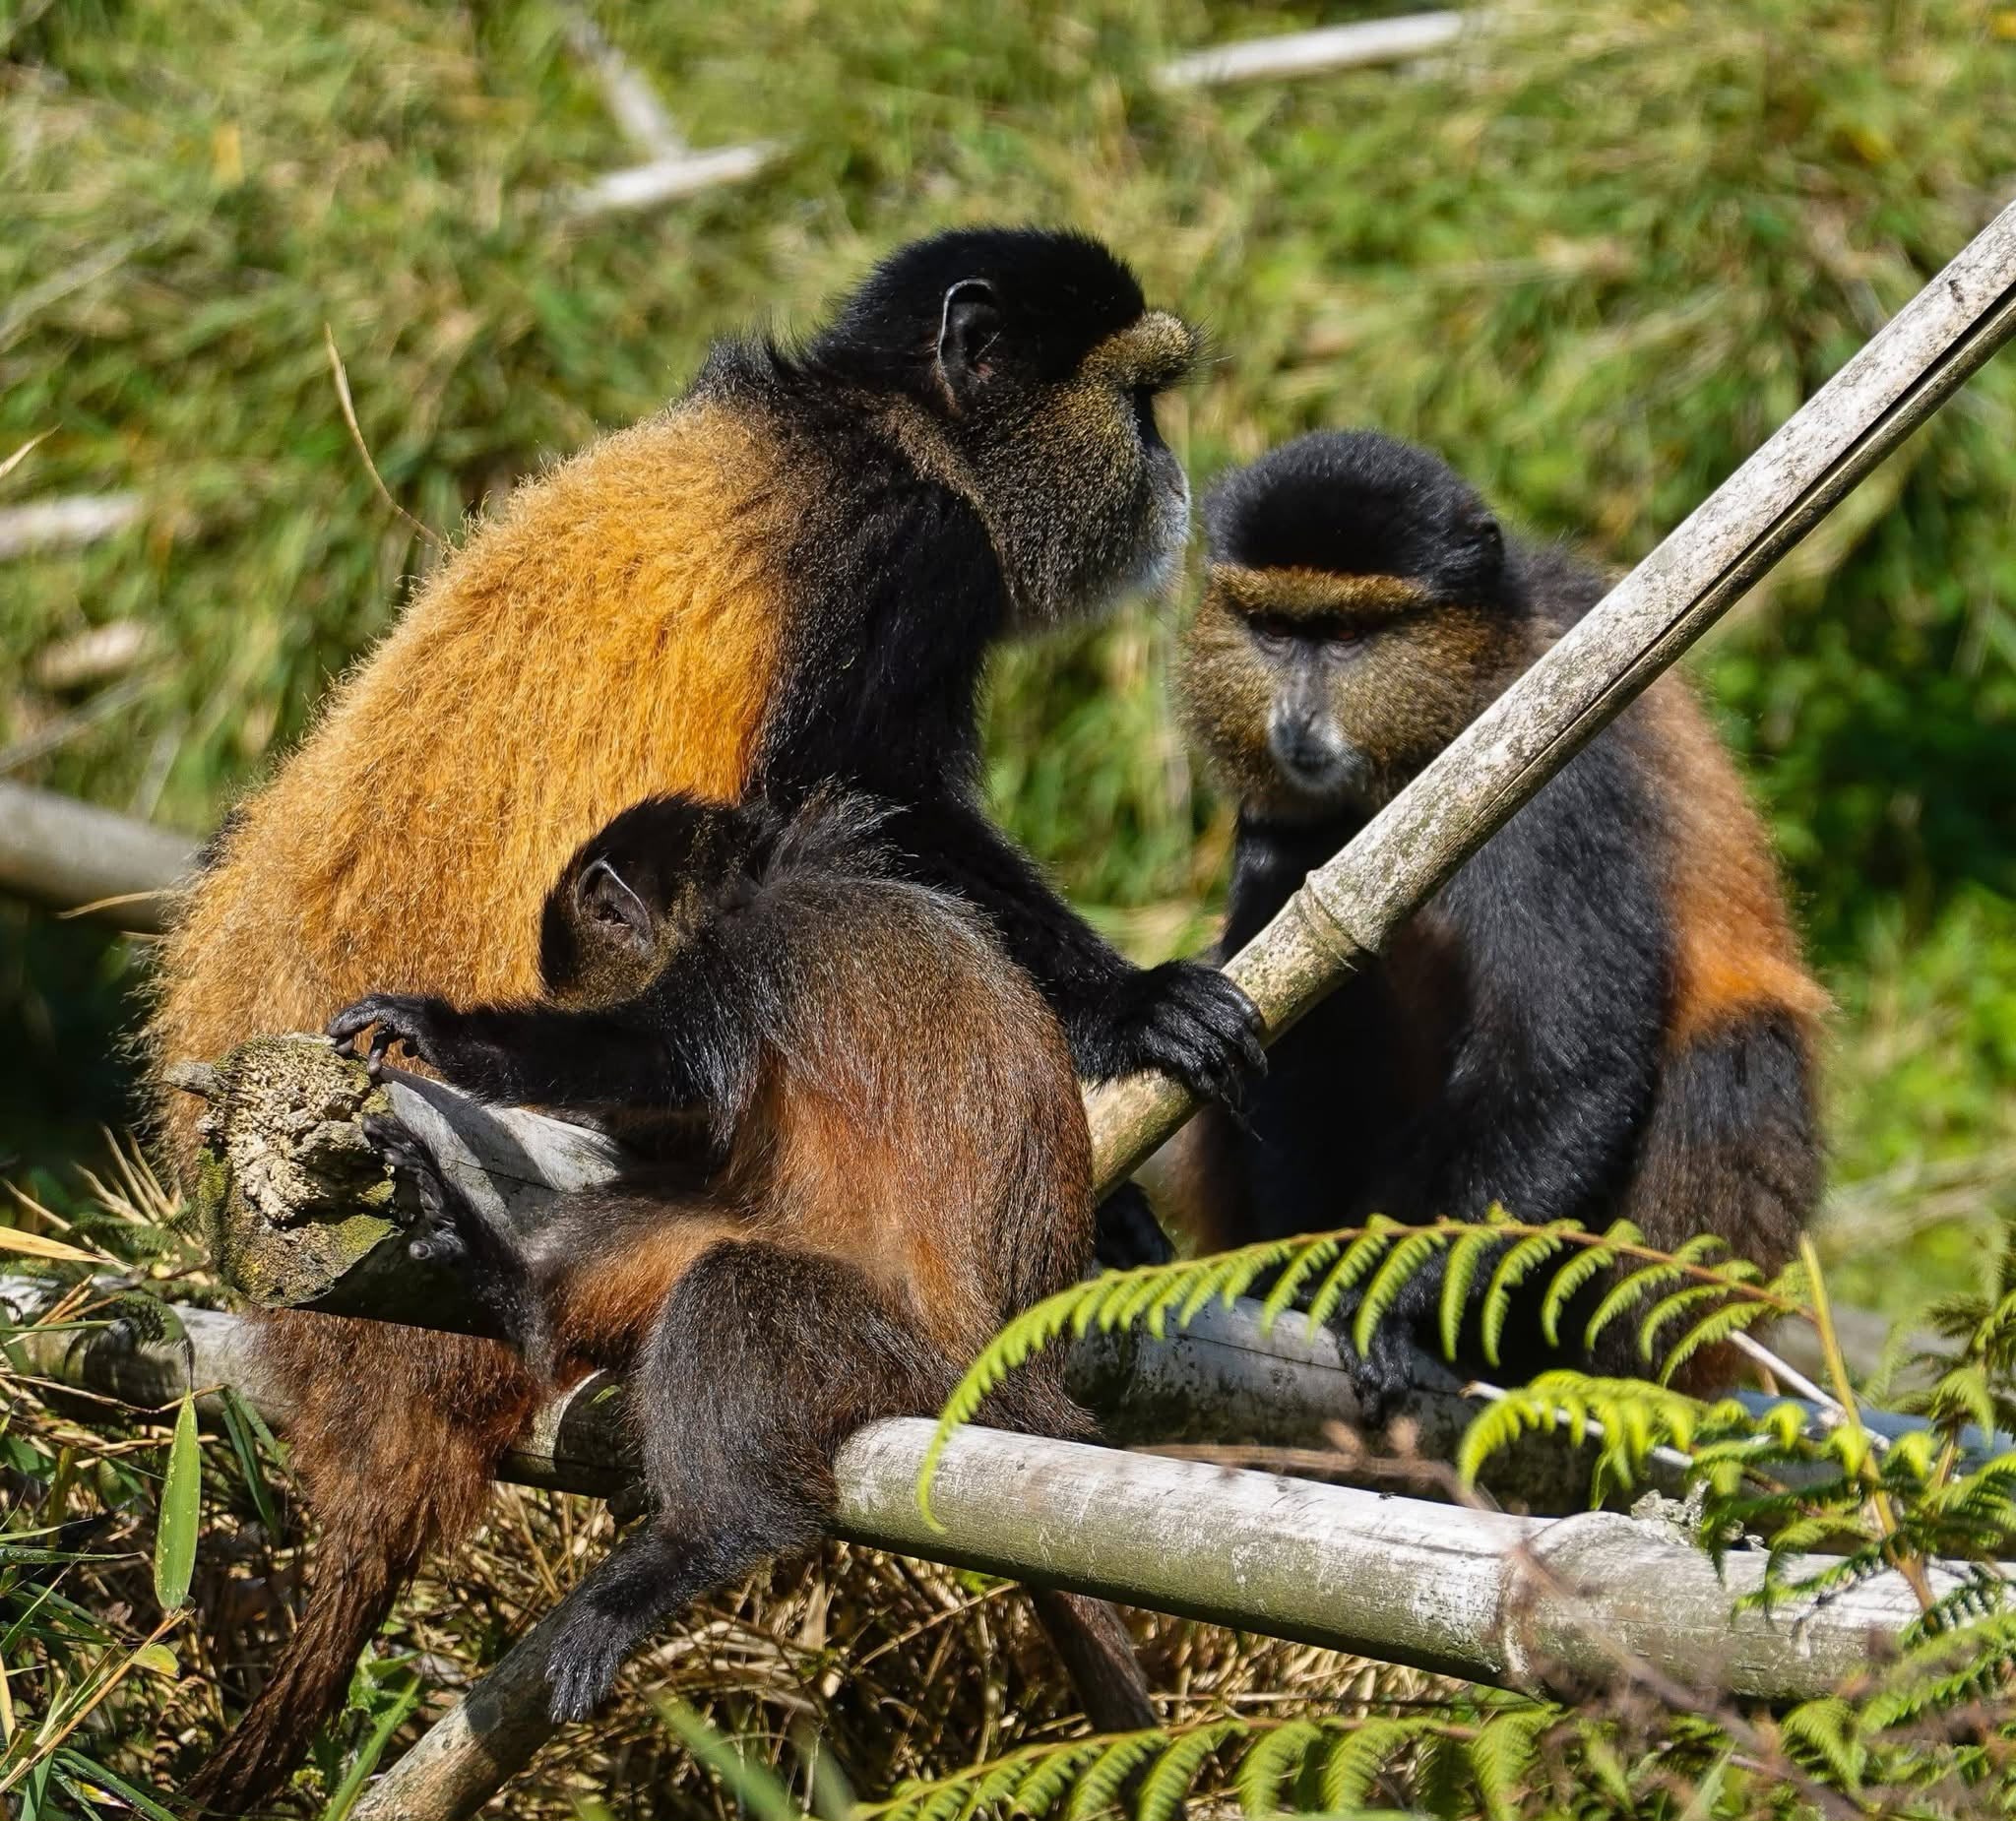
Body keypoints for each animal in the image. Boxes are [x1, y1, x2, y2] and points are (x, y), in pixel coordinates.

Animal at [324, 787, 1159, 1727]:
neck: (754, 881)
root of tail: (1031, 1393)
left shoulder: (752, 955)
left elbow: (659, 1065)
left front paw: (439, 1028)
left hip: (907, 1361)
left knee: (735, 1291)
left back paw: (701, 1542)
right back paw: (515, 1293)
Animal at [1167, 429, 1827, 1405]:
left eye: (1349, 635)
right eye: (1275, 630)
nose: (1295, 722)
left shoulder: (1554, 777)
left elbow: (1563, 1061)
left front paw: (1387, 1297)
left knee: (1731, 1056)